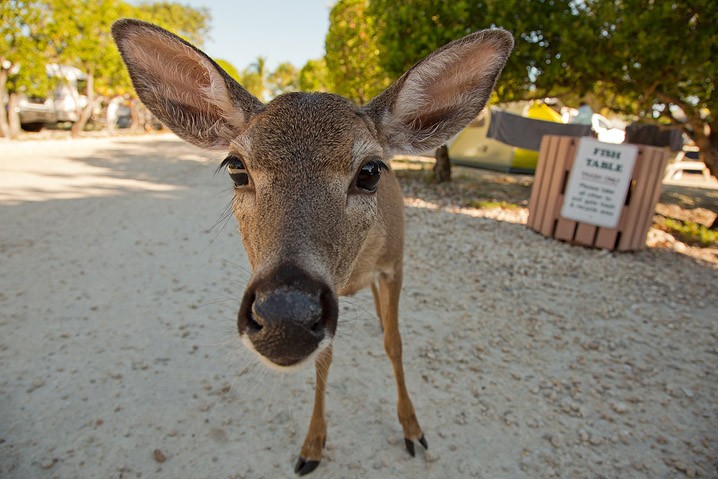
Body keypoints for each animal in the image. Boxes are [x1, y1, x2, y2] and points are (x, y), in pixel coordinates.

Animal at [112, 18, 512, 476]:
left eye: (370, 171)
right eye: (236, 167)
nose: (285, 317)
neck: (355, 270)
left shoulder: (395, 263)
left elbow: (395, 344)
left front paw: (413, 430)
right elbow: (325, 358)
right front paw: (312, 446)